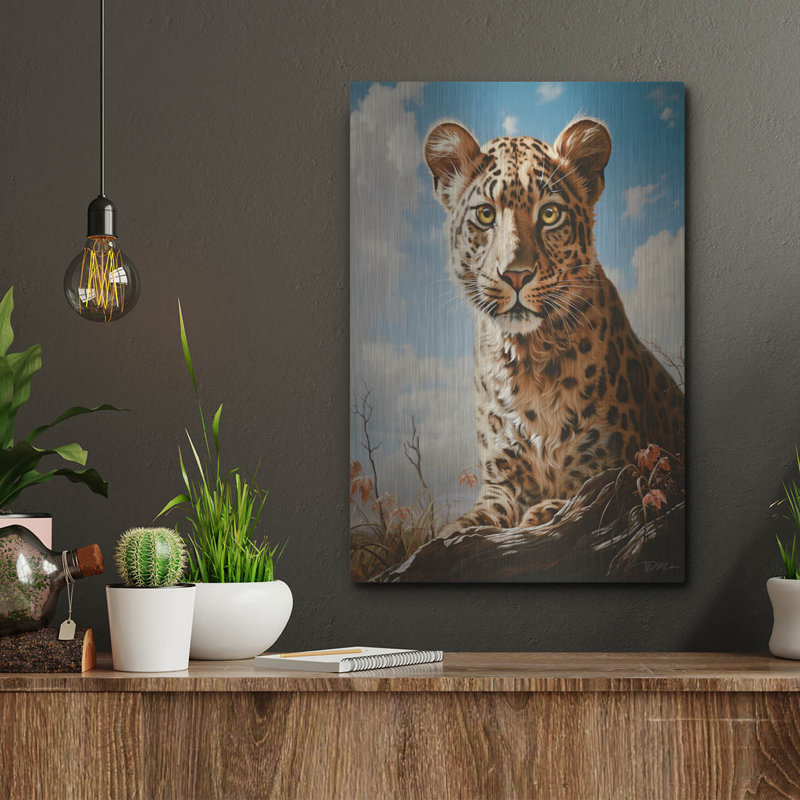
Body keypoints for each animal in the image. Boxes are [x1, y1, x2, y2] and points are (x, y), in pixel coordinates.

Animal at [424, 117, 684, 536]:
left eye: (549, 215)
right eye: (485, 214)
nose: (515, 274)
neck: (528, 361)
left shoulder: (611, 471)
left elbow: (575, 497)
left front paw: (544, 513)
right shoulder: (500, 482)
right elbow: (478, 518)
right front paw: (454, 532)